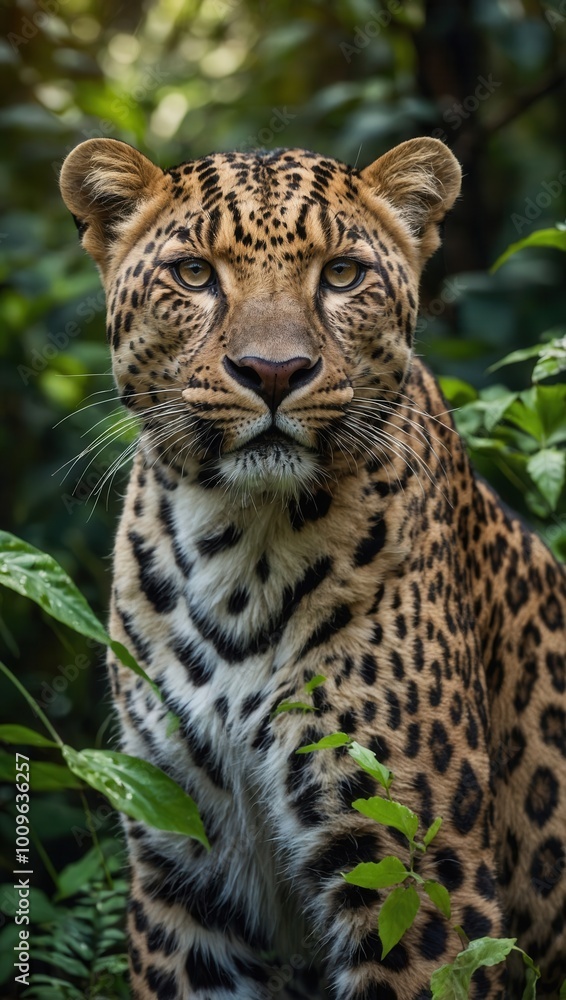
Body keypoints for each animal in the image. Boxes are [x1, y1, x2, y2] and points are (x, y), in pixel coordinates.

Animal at [59, 135, 566, 999]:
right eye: (193, 274)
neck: (241, 545)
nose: (273, 372)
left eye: (342, 275)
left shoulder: (416, 870)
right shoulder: (183, 863)